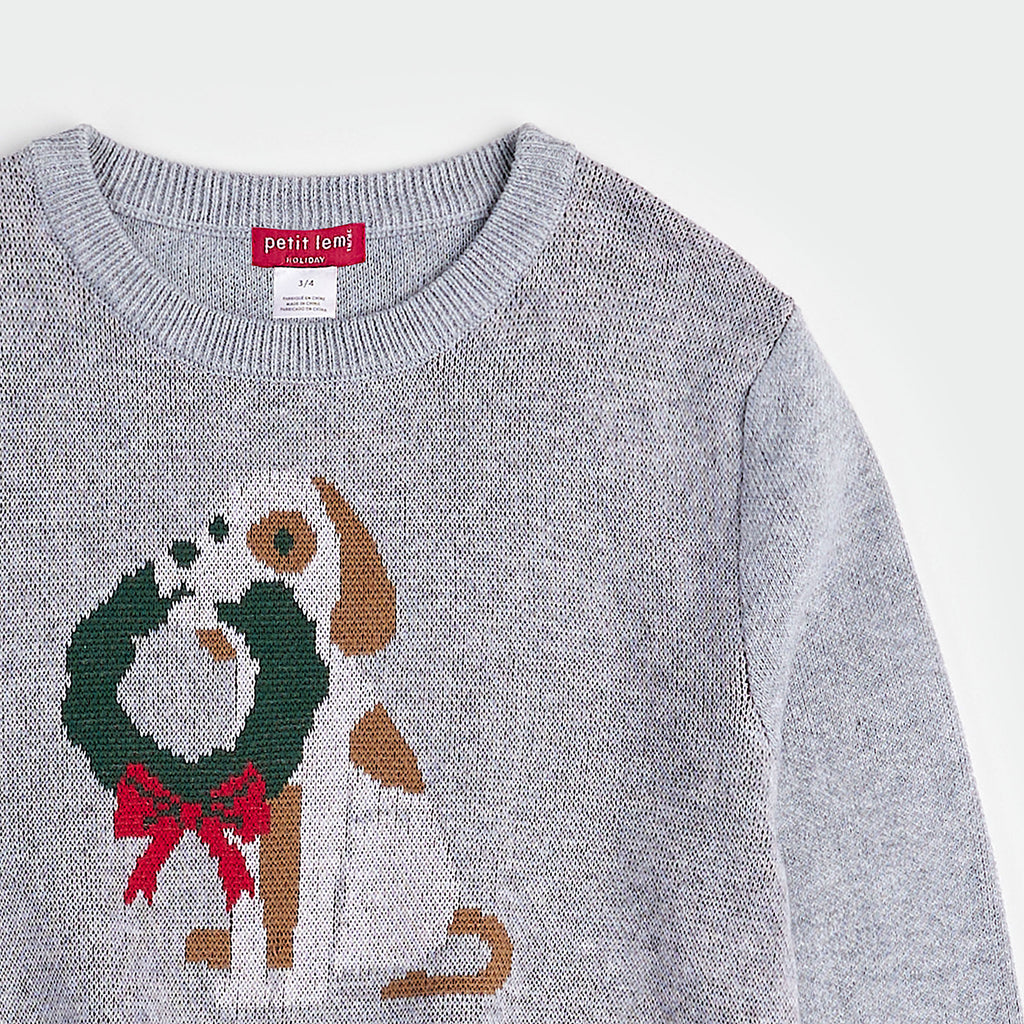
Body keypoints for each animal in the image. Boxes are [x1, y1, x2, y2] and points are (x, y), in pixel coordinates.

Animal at [62, 468, 512, 1007]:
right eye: (217, 526)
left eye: (284, 540)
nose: (183, 551)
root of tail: (450, 920)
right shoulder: (244, 804)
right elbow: (251, 907)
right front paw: (245, 981)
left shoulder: (320, 818)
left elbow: (308, 912)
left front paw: (297, 986)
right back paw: (219, 948)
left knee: (390, 971)